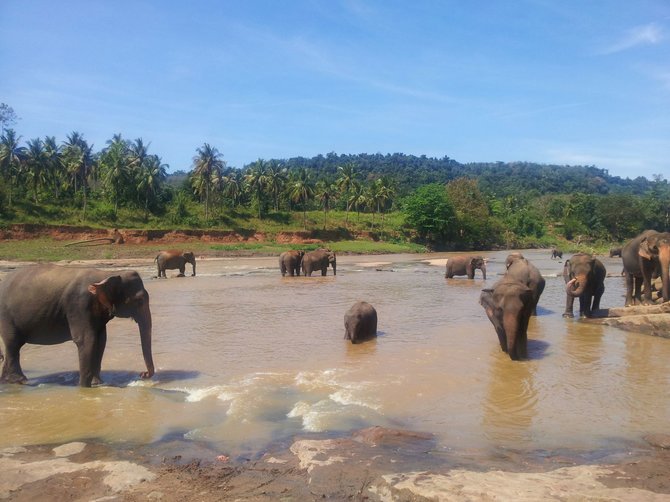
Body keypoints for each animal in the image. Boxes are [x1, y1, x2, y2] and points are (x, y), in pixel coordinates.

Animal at [0, 264, 155, 386]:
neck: (105, 275)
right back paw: (19, 380)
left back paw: (7, 381)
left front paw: (98, 383)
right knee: (13, 344)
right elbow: (87, 340)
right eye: (140, 300)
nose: (142, 374)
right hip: (6, 316)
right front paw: (84, 388)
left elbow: (101, 340)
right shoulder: (79, 305)